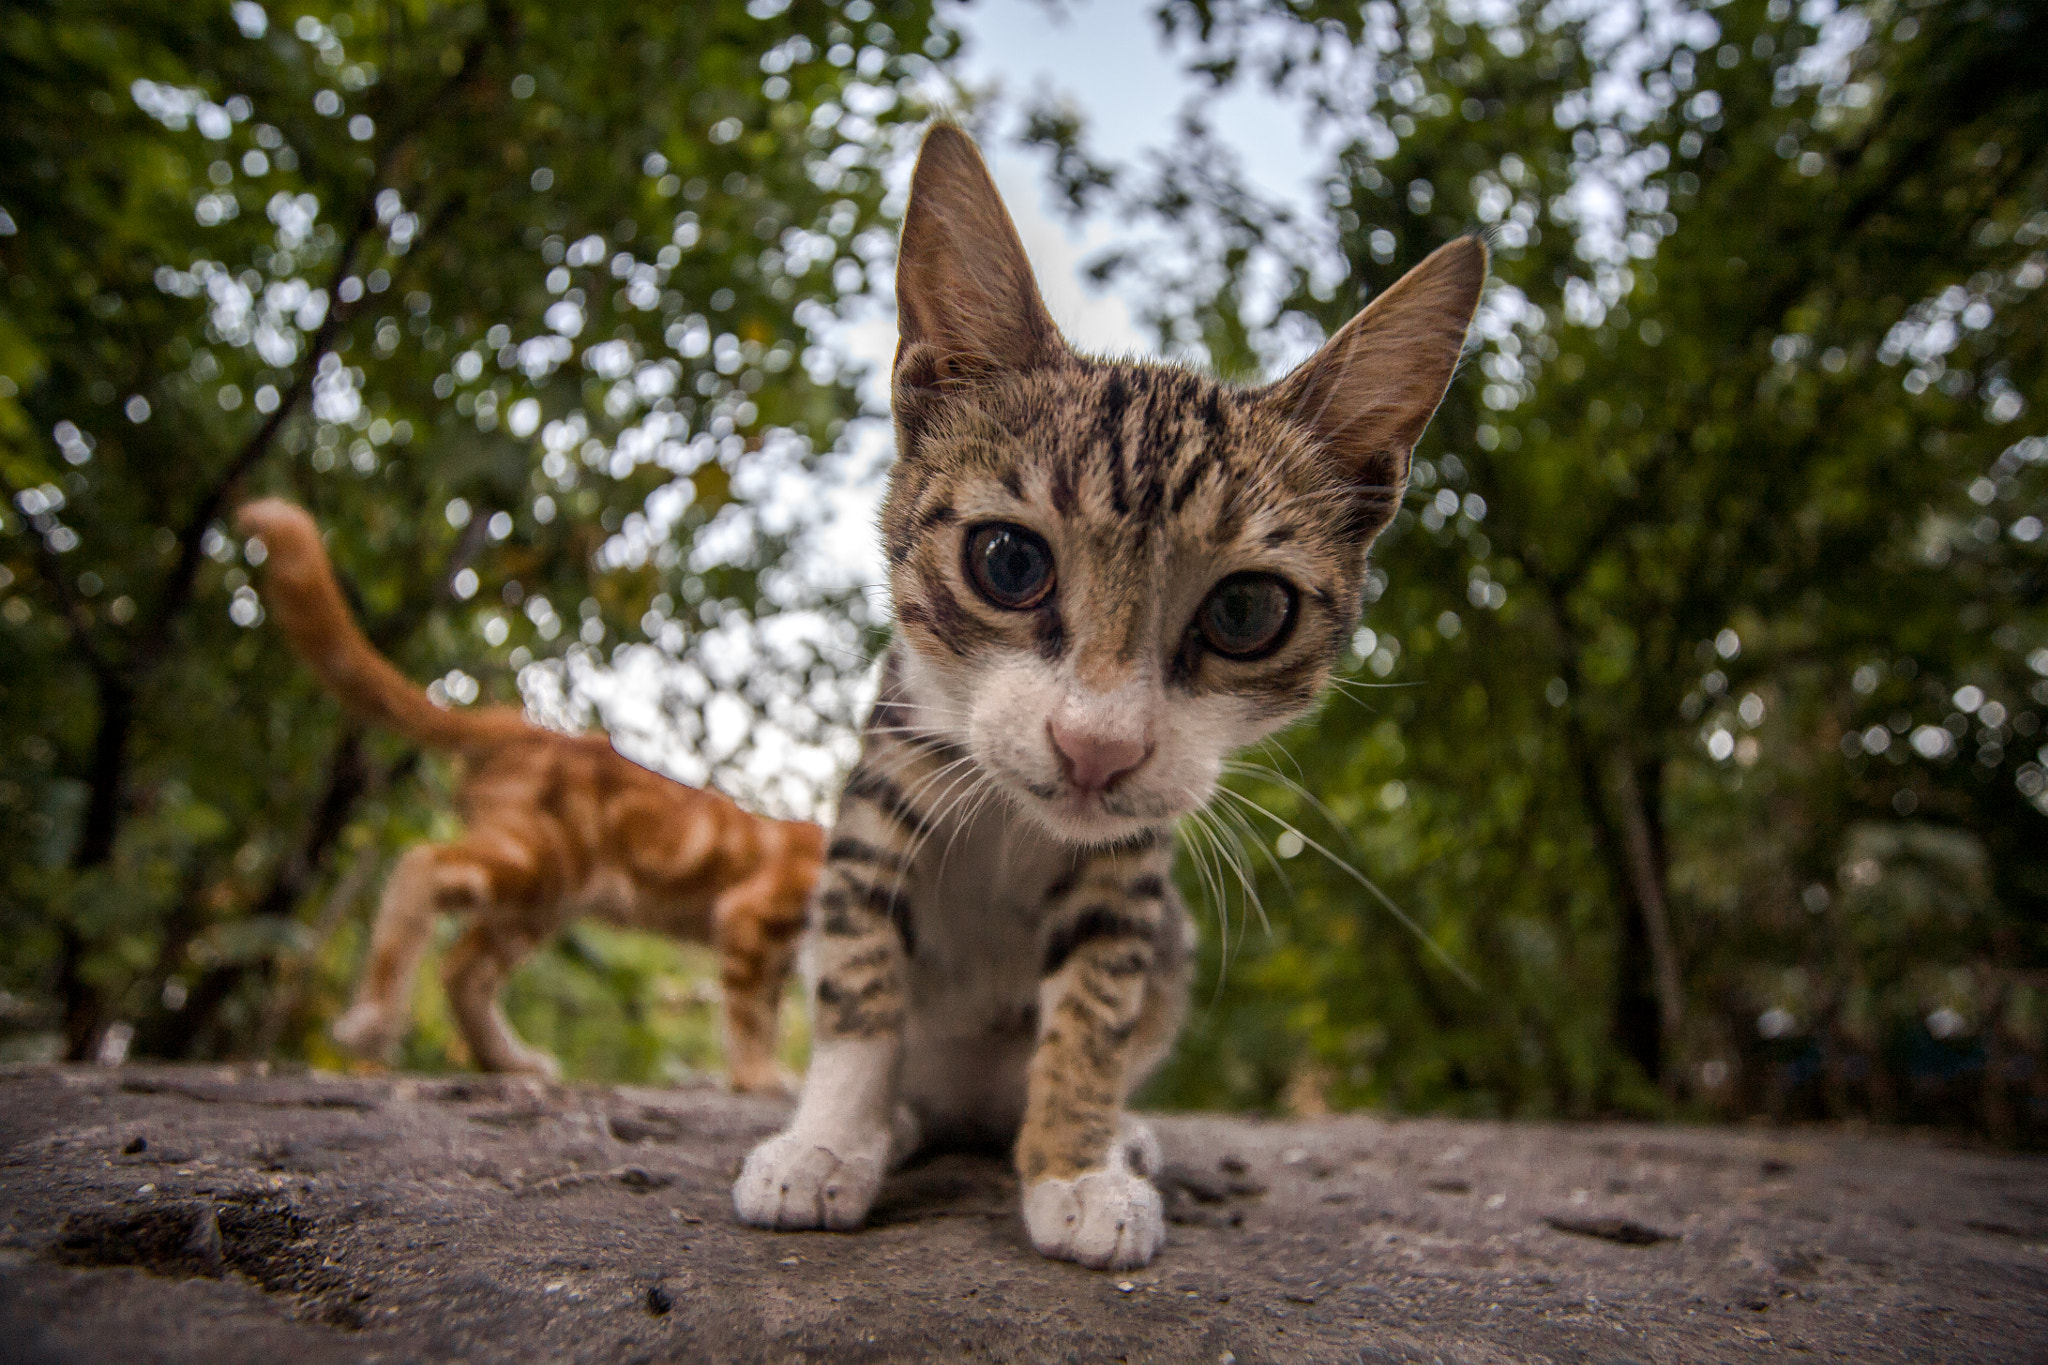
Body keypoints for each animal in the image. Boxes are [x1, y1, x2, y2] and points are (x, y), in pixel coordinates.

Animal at [237, 497, 815, 1096]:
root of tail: (523, 727)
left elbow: (775, 1012)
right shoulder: (752, 916)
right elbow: (751, 1015)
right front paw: (757, 1078)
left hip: (538, 901)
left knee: (463, 968)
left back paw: (508, 1062)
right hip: (539, 861)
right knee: (423, 864)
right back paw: (374, 1022)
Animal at [737, 125, 1490, 1268]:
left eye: (1243, 612)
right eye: (1008, 561)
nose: (1096, 746)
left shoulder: (1130, 870)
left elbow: (1095, 1007)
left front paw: (1076, 1167)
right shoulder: (880, 791)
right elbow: (861, 979)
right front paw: (827, 1141)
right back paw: (895, 1121)